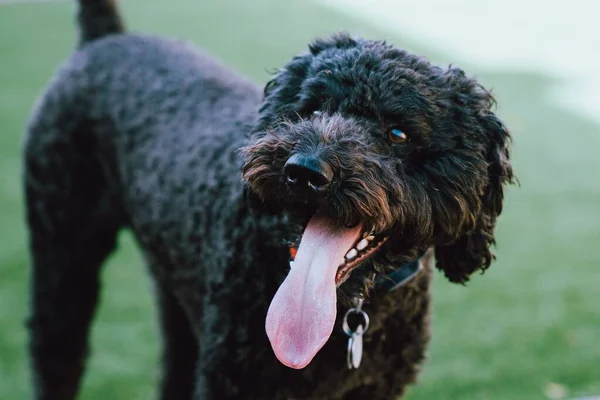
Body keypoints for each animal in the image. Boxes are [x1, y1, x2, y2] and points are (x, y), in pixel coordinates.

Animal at [22, 1, 510, 398]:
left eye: (398, 133)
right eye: (312, 109)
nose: (305, 171)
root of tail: (106, 38)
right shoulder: (232, 379)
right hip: (62, 249)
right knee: (56, 350)